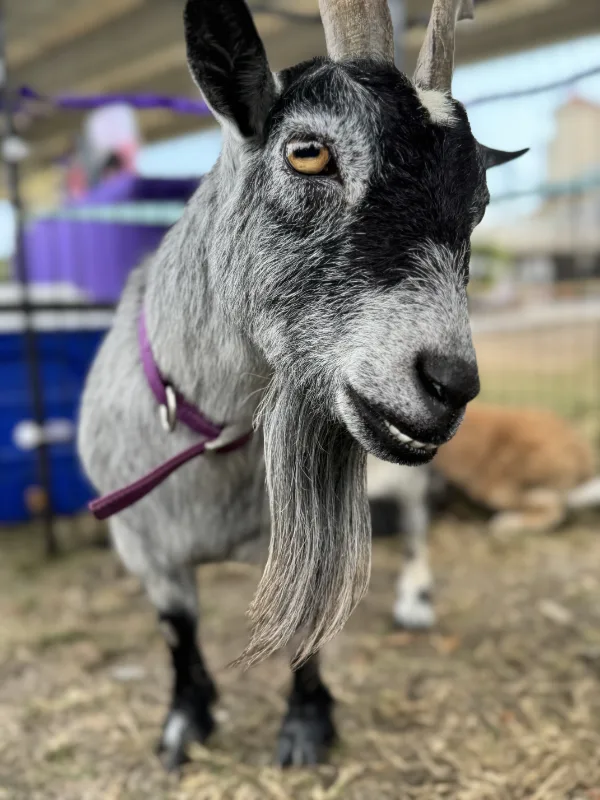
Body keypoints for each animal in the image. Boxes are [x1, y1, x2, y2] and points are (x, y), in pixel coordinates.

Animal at [78, 0, 526, 770]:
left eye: (480, 205)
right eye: (308, 151)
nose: (449, 382)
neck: (216, 445)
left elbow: (306, 622)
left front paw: (307, 727)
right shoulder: (142, 546)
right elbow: (176, 629)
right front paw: (184, 725)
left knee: (416, 520)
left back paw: (414, 599)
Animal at [370, 402, 600, 631]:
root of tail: (580, 446)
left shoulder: (414, 498)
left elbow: (415, 553)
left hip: (495, 485)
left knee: (556, 505)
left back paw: (508, 522)